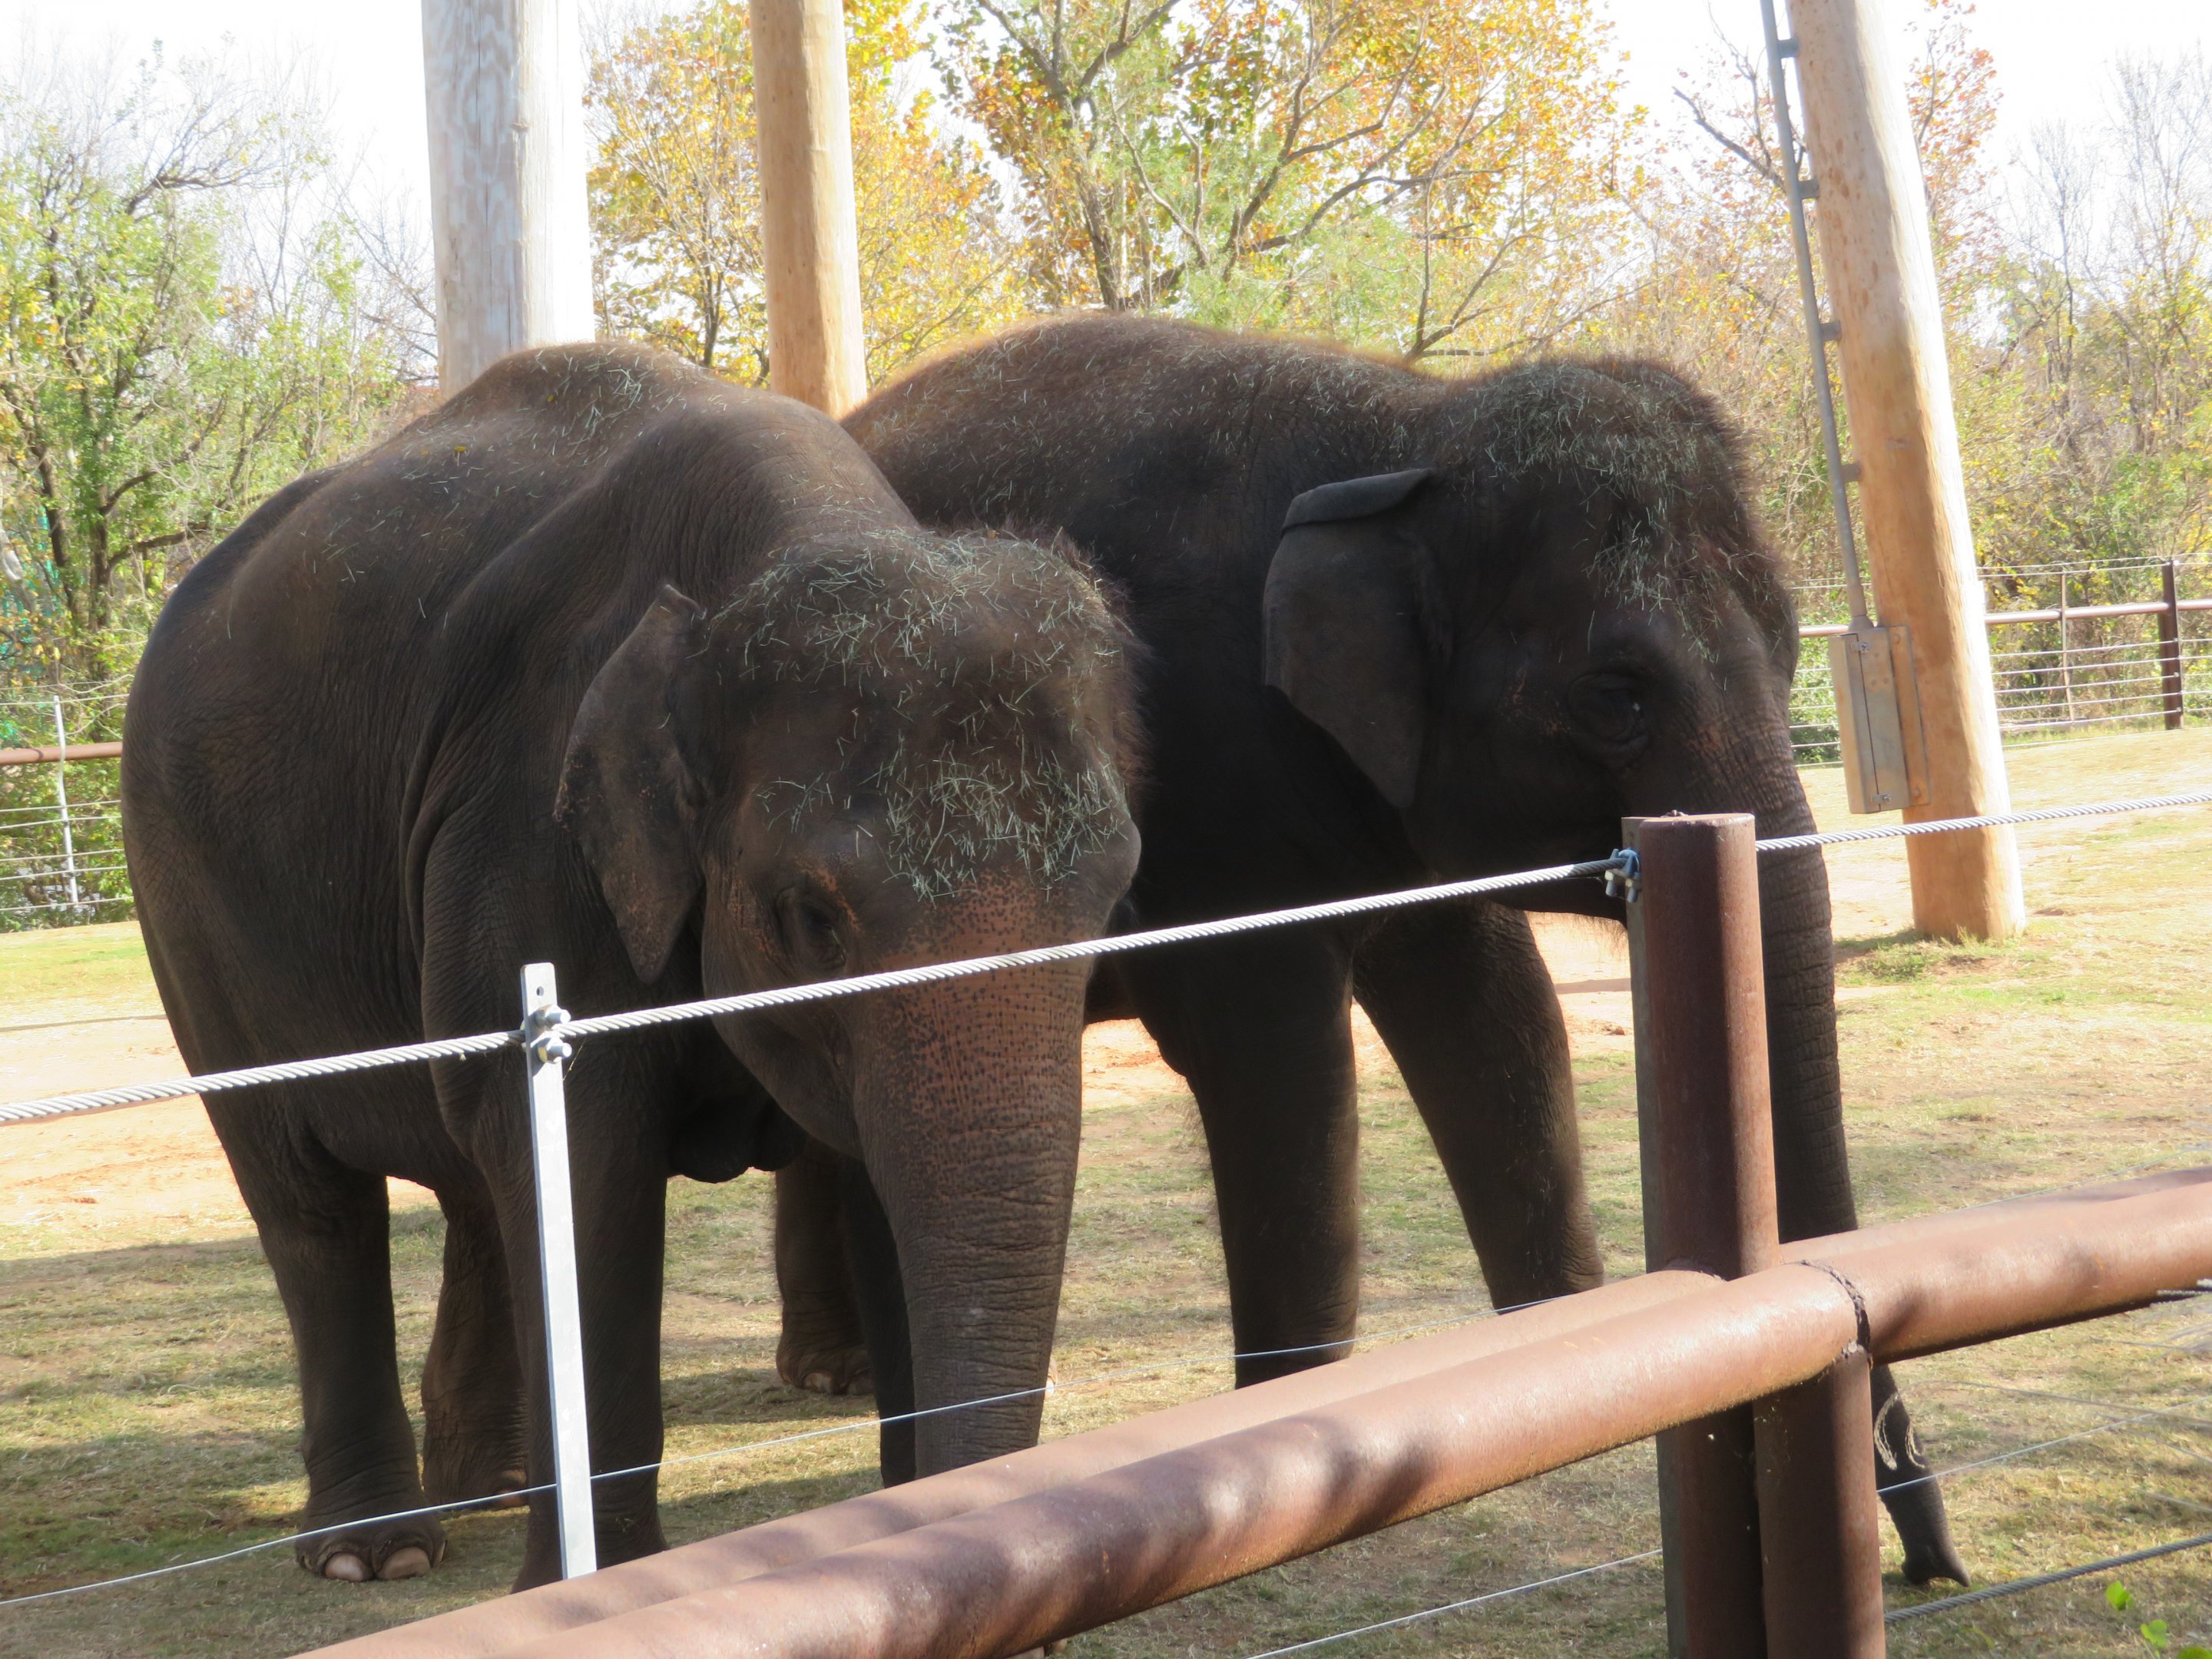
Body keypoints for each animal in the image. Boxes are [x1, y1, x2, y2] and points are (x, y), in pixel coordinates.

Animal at [119, 343, 1140, 1590]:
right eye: (810, 916)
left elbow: (868, 1167)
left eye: (1115, 894)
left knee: (472, 1180)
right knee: (312, 1200)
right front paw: (606, 1587)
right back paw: (380, 1555)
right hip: (184, 901)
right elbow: (586, 1149)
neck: (780, 546)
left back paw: (497, 1483)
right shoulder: (522, 826)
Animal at [831, 313, 1968, 1585]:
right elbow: (1280, 1059)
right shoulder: (1204, 778)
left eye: (1786, 649)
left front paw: (1577, 1341)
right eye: (1617, 694)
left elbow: (1497, 1010)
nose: (1930, 1562)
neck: (1408, 431)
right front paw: (1281, 1434)